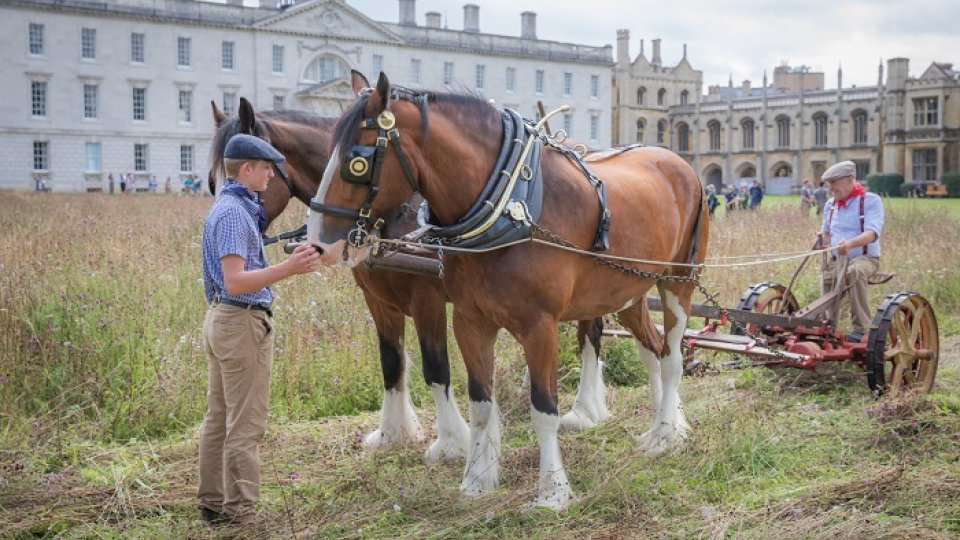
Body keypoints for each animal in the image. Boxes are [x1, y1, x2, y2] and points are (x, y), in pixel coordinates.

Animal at [209, 96, 616, 460]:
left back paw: (584, 411)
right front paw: (392, 432)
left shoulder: (428, 299)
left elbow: (435, 366)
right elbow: (391, 362)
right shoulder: (377, 298)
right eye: (213, 182)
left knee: (591, 334)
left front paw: (451, 442)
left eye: (238, 176)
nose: (215, 238)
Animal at [308, 73, 704, 510]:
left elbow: (543, 408)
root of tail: (677, 162)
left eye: (356, 161)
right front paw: (476, 480)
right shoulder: (468, 322)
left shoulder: (537, 327)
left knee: (672, 358)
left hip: (678, 282)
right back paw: (666, 423)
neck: (512, 207)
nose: (318, 242)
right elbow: (480, 403)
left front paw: (552, 491)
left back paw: (665, 435)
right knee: (653, 349)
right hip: (626, 291)